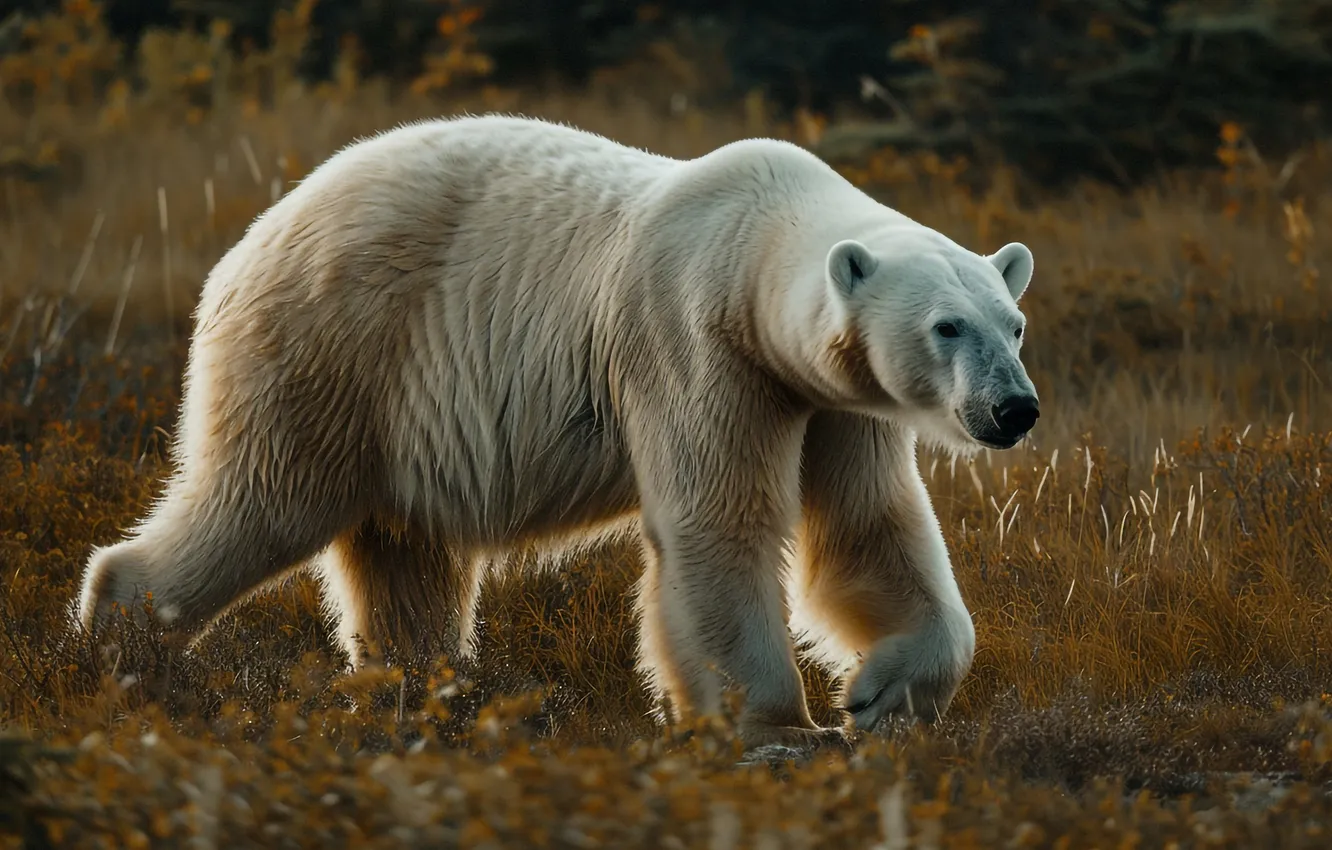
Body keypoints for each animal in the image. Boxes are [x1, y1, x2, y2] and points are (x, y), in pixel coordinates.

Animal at [76, 114, 1040, 750]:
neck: (751, 244)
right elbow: (719, 522)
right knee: (263, 502)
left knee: (405, 566)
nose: (1013, 409)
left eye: (1014, 323)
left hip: (386, 412)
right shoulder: (692, 343)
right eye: (948, 326)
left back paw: (422, 696)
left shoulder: (835, 399)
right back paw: (125, 646)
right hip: (330, 349)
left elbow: (868, 525)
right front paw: (779, 728)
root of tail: (255, 234)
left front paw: (882, 694)